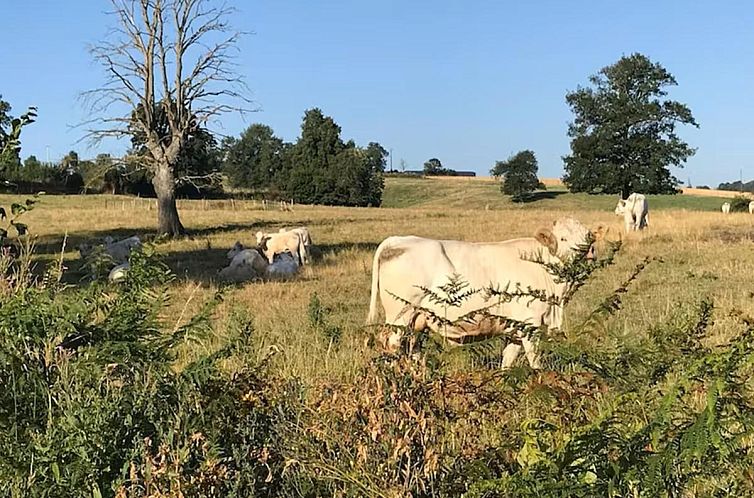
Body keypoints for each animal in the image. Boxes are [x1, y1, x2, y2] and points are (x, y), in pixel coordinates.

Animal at [366, 219, 600, 370]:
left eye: (587, 236)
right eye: (563, 238)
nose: (586, 250)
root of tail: (398, 240)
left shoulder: (514, 328)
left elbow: (508, 360)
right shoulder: (530, 323)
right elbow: (535, 361)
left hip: (417, 319)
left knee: (412, 348)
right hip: (400, 314)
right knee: (392, 345)